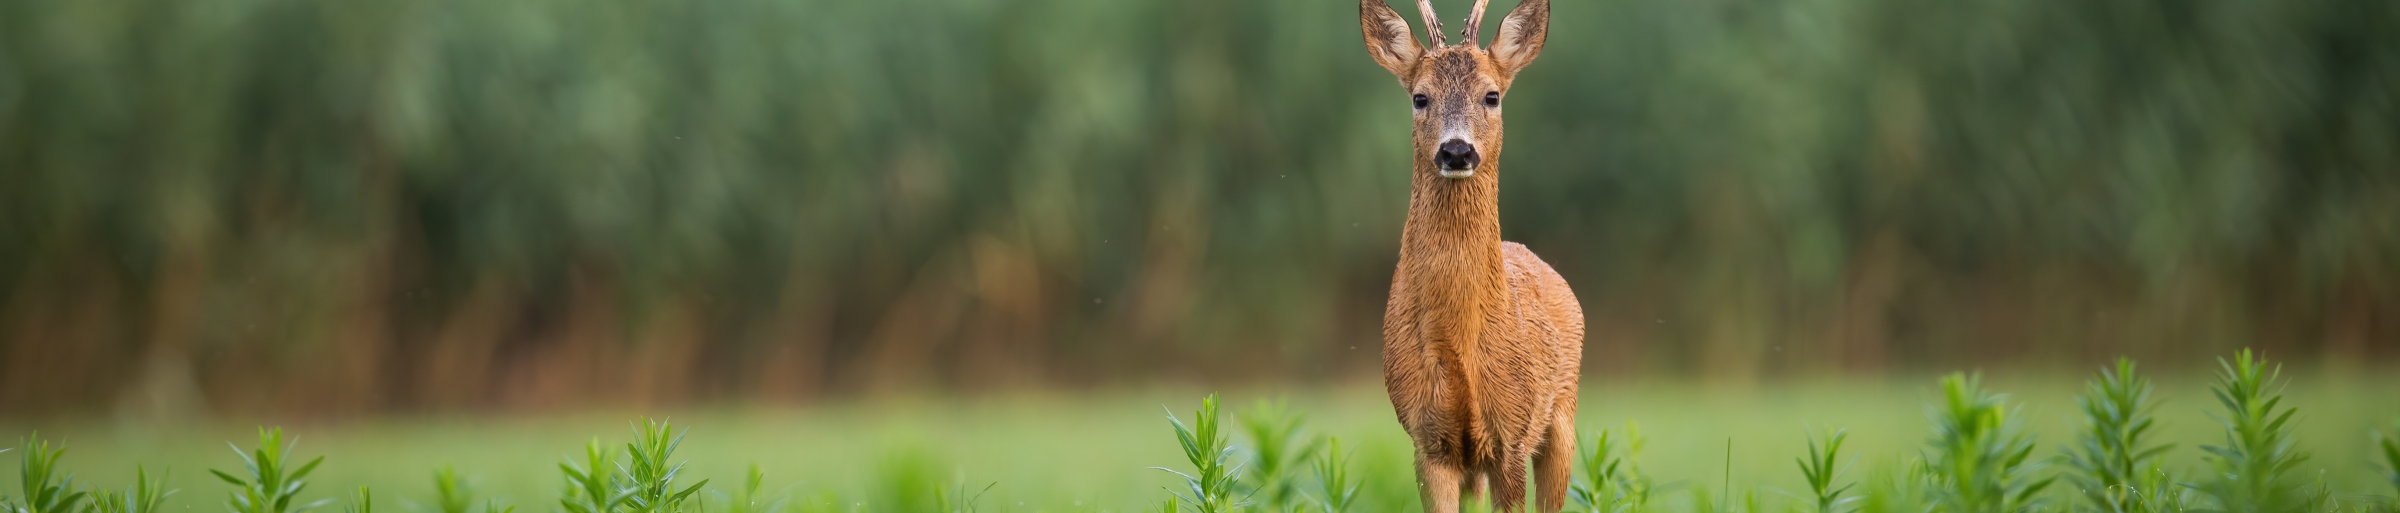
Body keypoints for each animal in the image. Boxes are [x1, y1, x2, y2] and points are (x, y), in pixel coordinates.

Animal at [1358, 0, 1584, 512]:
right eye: (1420, 98)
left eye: (1492, 96)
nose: (1457, 150)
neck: (1460, 344)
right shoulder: (1428, 441)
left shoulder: (1514, 432)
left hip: (1562, 414)